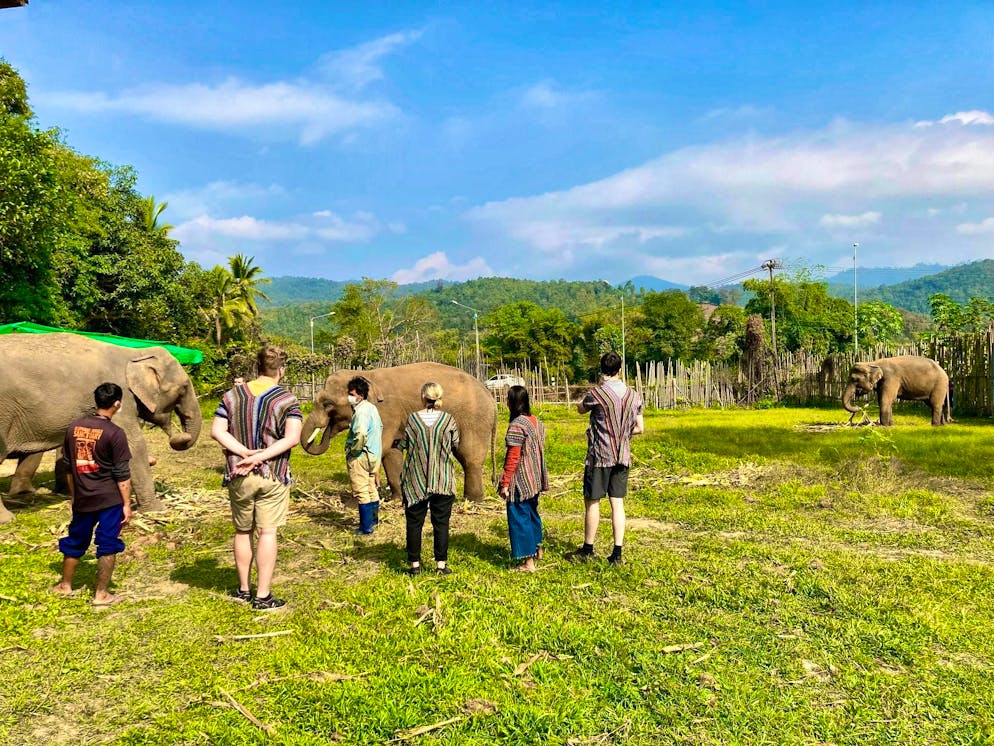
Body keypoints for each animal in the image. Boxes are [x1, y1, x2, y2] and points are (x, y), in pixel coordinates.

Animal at [0, 333, 202, 522]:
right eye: (184, 388)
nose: (177, 436)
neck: (135, 354)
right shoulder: (120, 397)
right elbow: (133, 445)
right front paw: (156, 510)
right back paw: (8, 518)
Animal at [301, 362, 497, 501]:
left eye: (327, 404)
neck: (368, 376)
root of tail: (491, 397)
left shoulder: (387, 412)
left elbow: (381, 446)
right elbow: (391, 452)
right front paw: (396, 499)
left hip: (474, 420)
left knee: (469, 456)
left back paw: (473, 500)